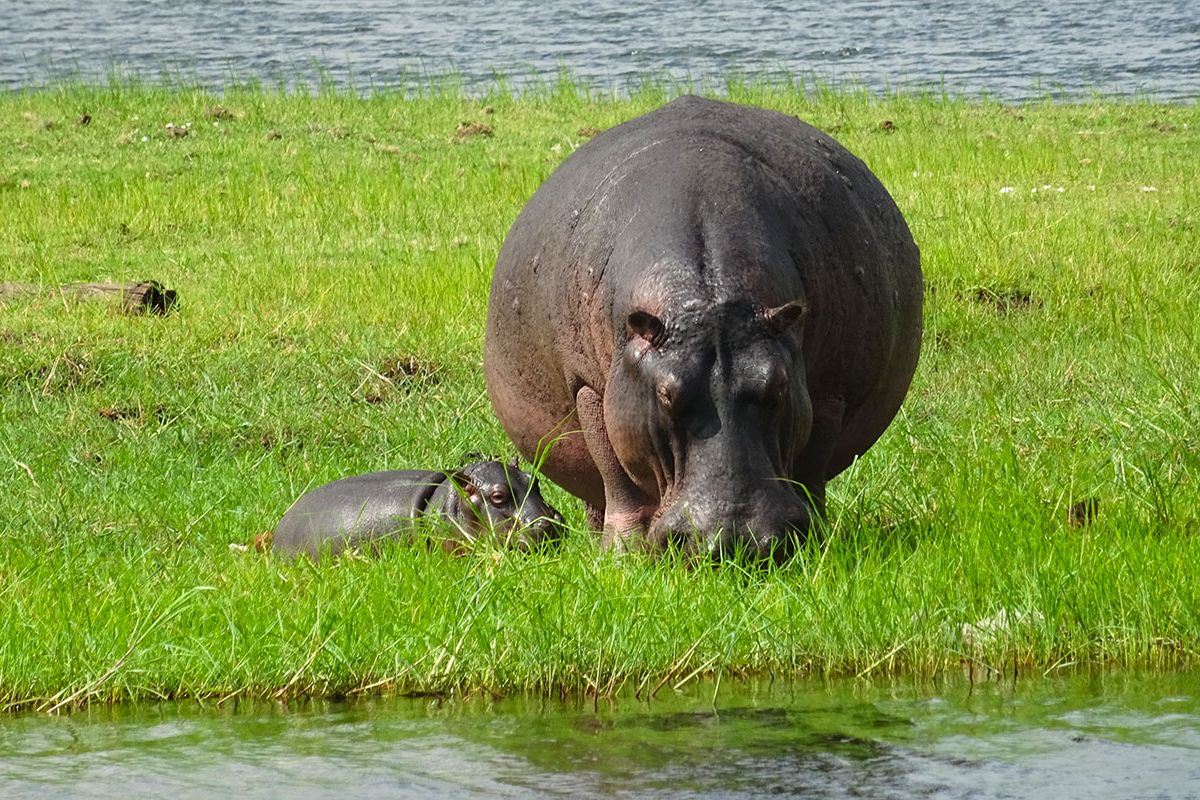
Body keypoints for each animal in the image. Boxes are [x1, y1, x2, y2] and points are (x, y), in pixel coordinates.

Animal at [482, 95, 921, 563]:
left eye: (777, 386)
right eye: (665, 394)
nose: (734, 540)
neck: (711, 299)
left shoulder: (829, 391)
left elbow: (810, 470)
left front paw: (817, 542)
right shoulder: (588, 387)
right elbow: (616, 475)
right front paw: (621, 557)